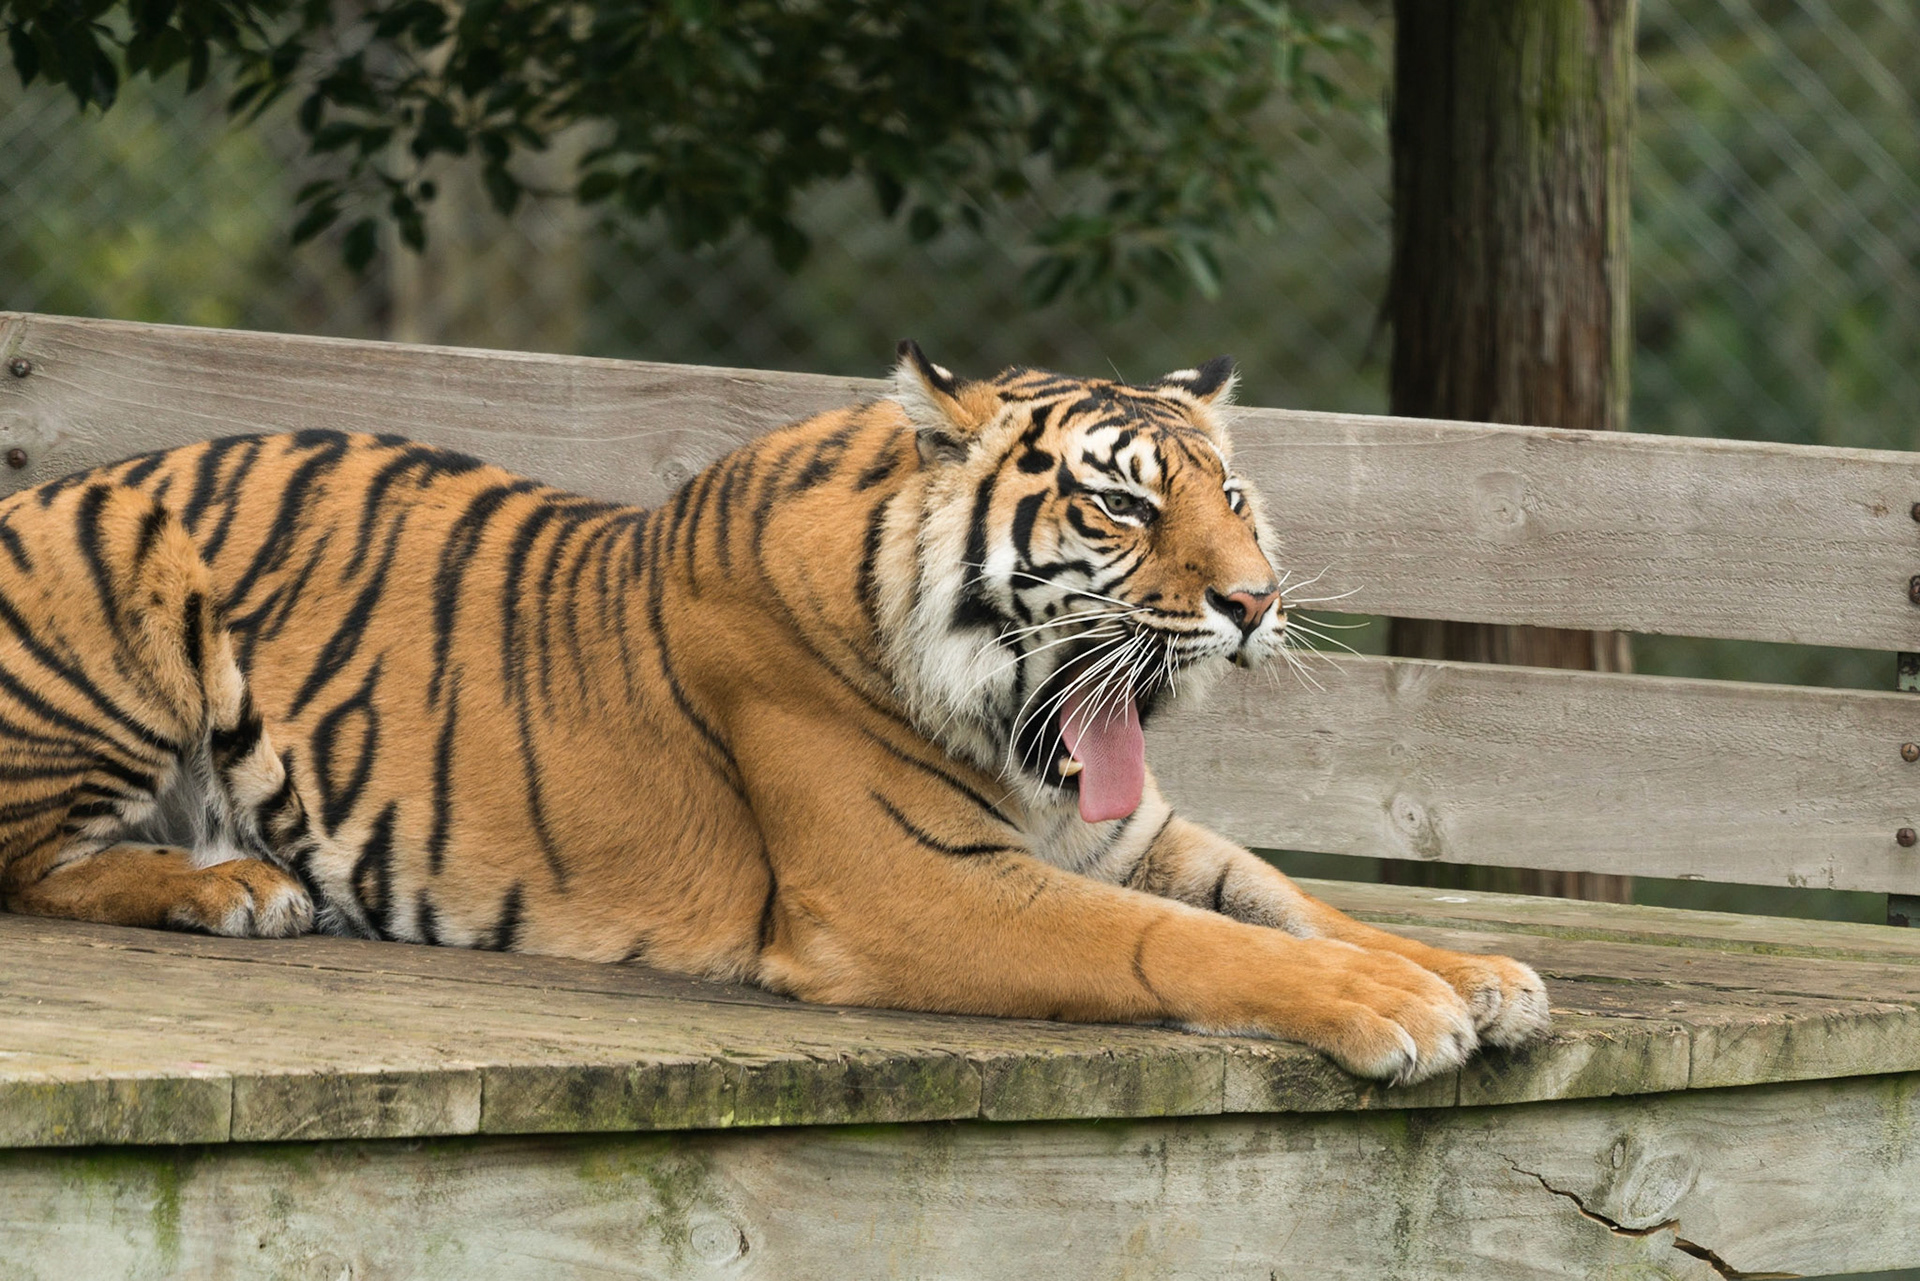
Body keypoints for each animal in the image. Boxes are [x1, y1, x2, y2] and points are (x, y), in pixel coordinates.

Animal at [0, 342, 1547, 1084]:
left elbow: (1287, 900)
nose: (1255, 600)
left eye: (1227, 493)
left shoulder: (1125, 832)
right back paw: (231, 889)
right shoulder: (912, 887)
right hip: (127, 588)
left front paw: (1474, 972)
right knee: (28, 867)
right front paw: (1396, 1008)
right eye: (1119, 504)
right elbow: (1181, 943)